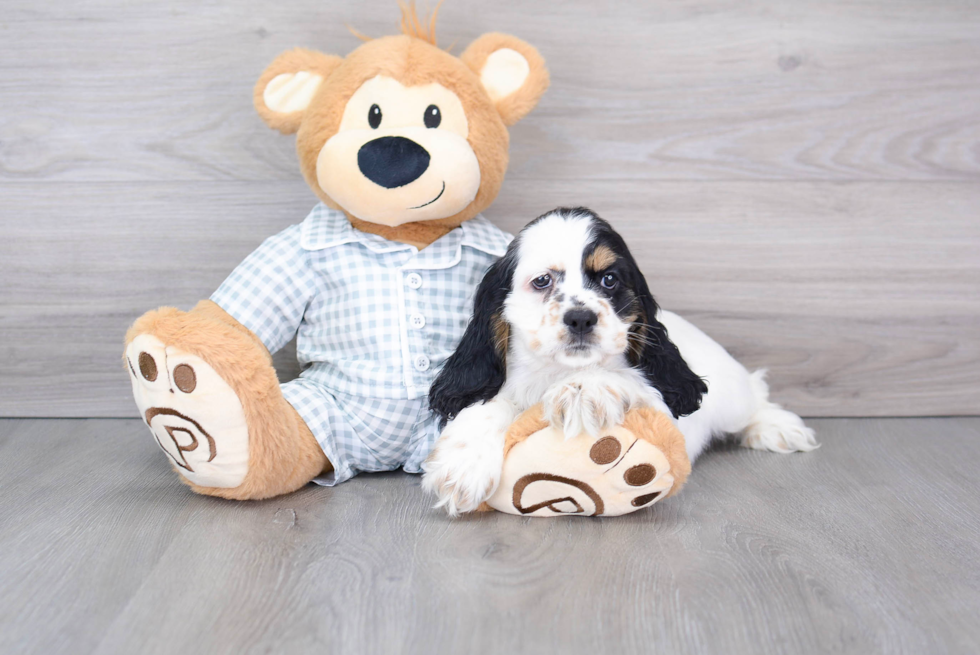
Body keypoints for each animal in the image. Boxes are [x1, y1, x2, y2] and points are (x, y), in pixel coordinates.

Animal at [424, 208, 816, 516]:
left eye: (610, 279)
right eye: (542, 281)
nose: (581, 318)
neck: (557, 371)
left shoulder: (662, 408)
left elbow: (630, 379)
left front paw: (583, 389)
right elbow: (491, 403)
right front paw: (461, 466)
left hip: (732, 394)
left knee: (754, 397)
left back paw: (778, 428)